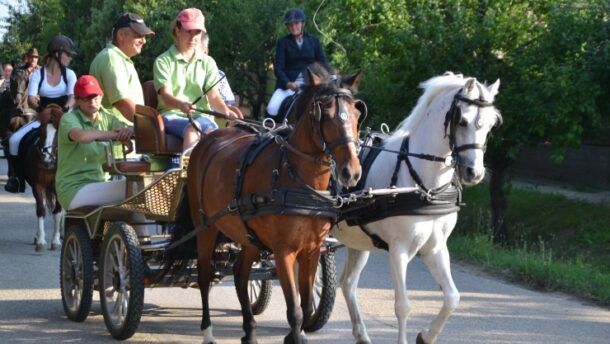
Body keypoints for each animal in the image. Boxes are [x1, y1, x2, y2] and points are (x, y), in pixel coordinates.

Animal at [23, 103, 63, 251]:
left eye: (59, 131)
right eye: (41, 131)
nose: (46, 160)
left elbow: (58, 212)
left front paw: (56, 241)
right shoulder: (37, 185)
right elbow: (40, 209)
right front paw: (40, 240)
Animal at [188, 63, 360, 342]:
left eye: (357, 114)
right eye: (326, 115)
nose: (351, 172)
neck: (297, 178)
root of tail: (209, 138)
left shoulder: (312, 250)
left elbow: (305, 305)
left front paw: (295, 334)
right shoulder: (283, 251)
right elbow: (295, 311)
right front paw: (295, 335)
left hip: (248, 236)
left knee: (240, 273)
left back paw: (249, 330)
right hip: (205, 227)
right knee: (204, 276)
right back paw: (208, 331)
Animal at [332, 73, 498, 344]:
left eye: (491, 126)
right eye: (462, 120)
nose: (474, 173)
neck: (423, 183)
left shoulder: (435, 247)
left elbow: (452, 297)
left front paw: (426, 336)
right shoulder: (398, 250)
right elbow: (403, 306)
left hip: (357, 240)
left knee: (347, 283)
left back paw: (362, 334)